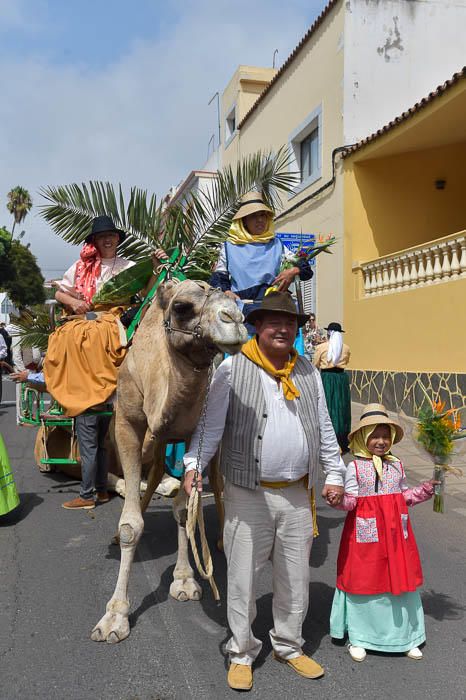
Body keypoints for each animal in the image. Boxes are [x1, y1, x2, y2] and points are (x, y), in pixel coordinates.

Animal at [88, 278, 246, 644]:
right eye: (183, 307)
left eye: (232, 298)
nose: (235, 320)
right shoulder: (128, 425)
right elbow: (131, 524)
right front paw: (114, 617)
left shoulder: (194, 429)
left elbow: (183, 511)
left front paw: (185, 580)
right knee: (156, 471)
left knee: (216, 483)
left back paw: (220, 540)